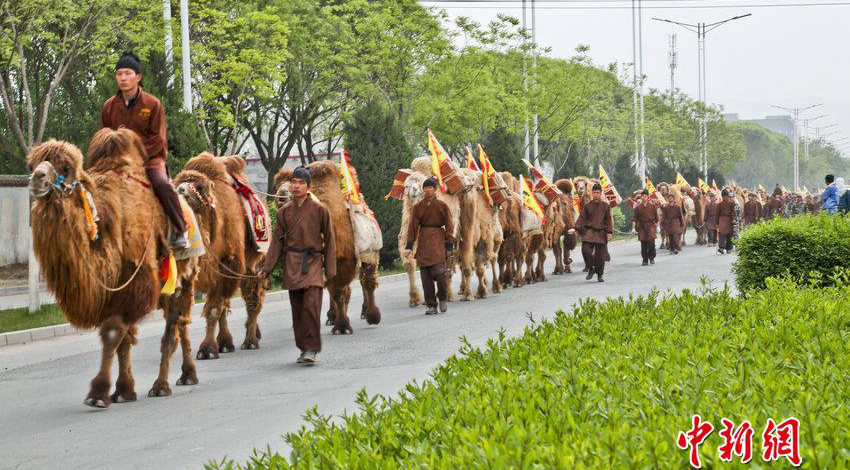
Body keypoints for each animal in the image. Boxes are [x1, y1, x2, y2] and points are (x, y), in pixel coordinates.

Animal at [26, 129, 200, 408]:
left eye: (66, 168)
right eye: (31, 165)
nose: (37, 178)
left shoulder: (135, 282)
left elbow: (112, 333)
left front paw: (98, 393)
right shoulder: (111, 290)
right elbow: (123, 342)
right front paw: (123, 390)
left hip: (183, 277)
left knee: (172, 328)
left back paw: (161, 385)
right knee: (182, 324)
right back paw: (188, 375)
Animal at [170, 152, 264, 358]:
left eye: (200, 188)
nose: (181, 190)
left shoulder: (228, 263)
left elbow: (214, 308)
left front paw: (207, 349)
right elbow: (215, 307)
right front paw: (218, 345)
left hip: (253, 264)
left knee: (253, 297)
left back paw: (251, 340)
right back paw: (227, 342)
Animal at [274, 162, 380, 334]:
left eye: (292, 182)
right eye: (276, 185)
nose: (281, 194)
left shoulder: (341, 259)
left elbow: (339, 291)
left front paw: (342, 324)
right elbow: (335, 291)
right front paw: (340, 323)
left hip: (368, 250)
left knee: (367, 280)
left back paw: (371, 314)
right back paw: (334, 315)